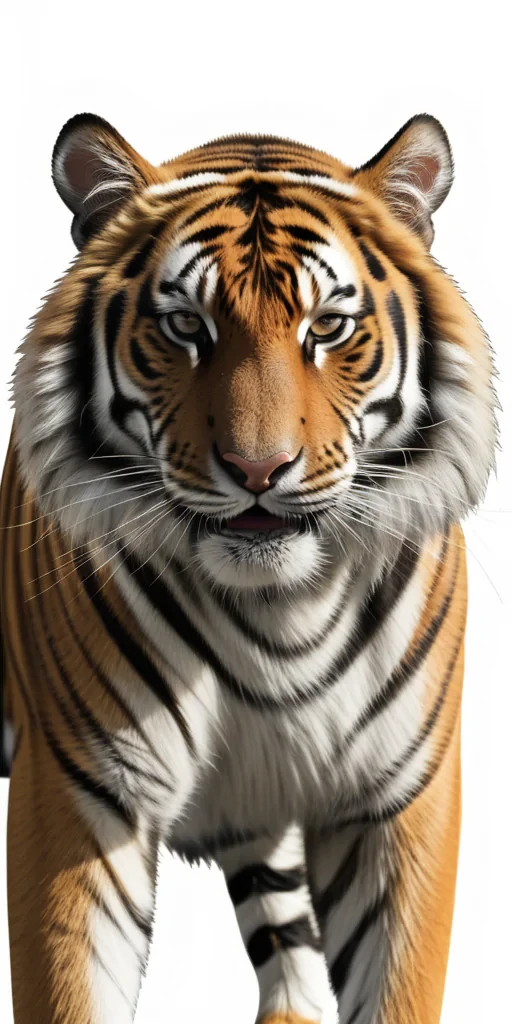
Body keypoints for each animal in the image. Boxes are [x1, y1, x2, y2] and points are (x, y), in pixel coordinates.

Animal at [0, 111, 497, 1024]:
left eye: (327, 328)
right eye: (185, 328)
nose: (259, 470)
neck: (279, 608)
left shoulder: (398, 799)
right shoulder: (82, 793)